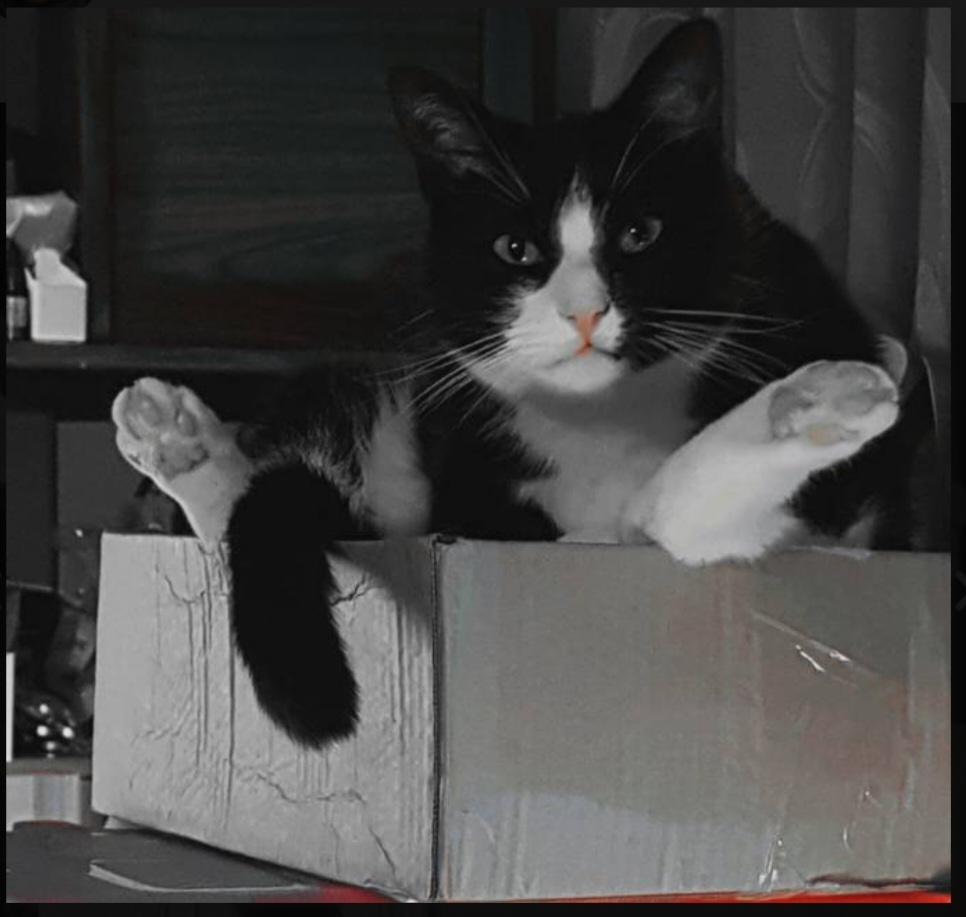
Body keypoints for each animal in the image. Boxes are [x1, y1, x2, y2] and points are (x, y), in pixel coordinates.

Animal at [111, 18, 926, 749]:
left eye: (639, 234)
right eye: (515, 249)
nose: (585, 309)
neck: (603, 426)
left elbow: (676, 507)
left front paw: (810, 404)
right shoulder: (478, 498)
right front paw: (808, 407)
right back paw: (178, 439)